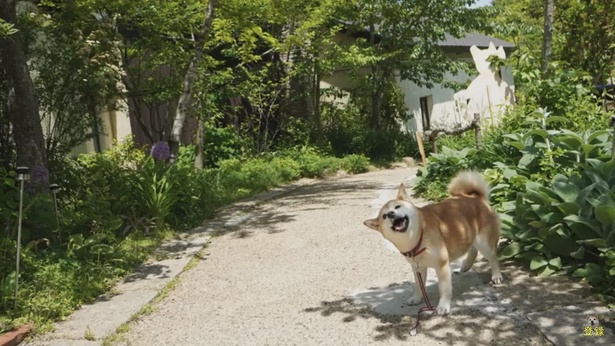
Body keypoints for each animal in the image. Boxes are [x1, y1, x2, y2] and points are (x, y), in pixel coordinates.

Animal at [364, 171, 502, 316]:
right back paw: (466, 265)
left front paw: (443, 306)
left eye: (397, 206)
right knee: (473, 249)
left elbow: (444, 290)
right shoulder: (417, 267)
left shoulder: (442, 266)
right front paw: (416, 298)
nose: (391, 213)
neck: (419, 237)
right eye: (384, 216)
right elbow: (418, 285)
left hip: (484, 243)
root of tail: (476, 197)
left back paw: (496, 276)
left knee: (493, 258)